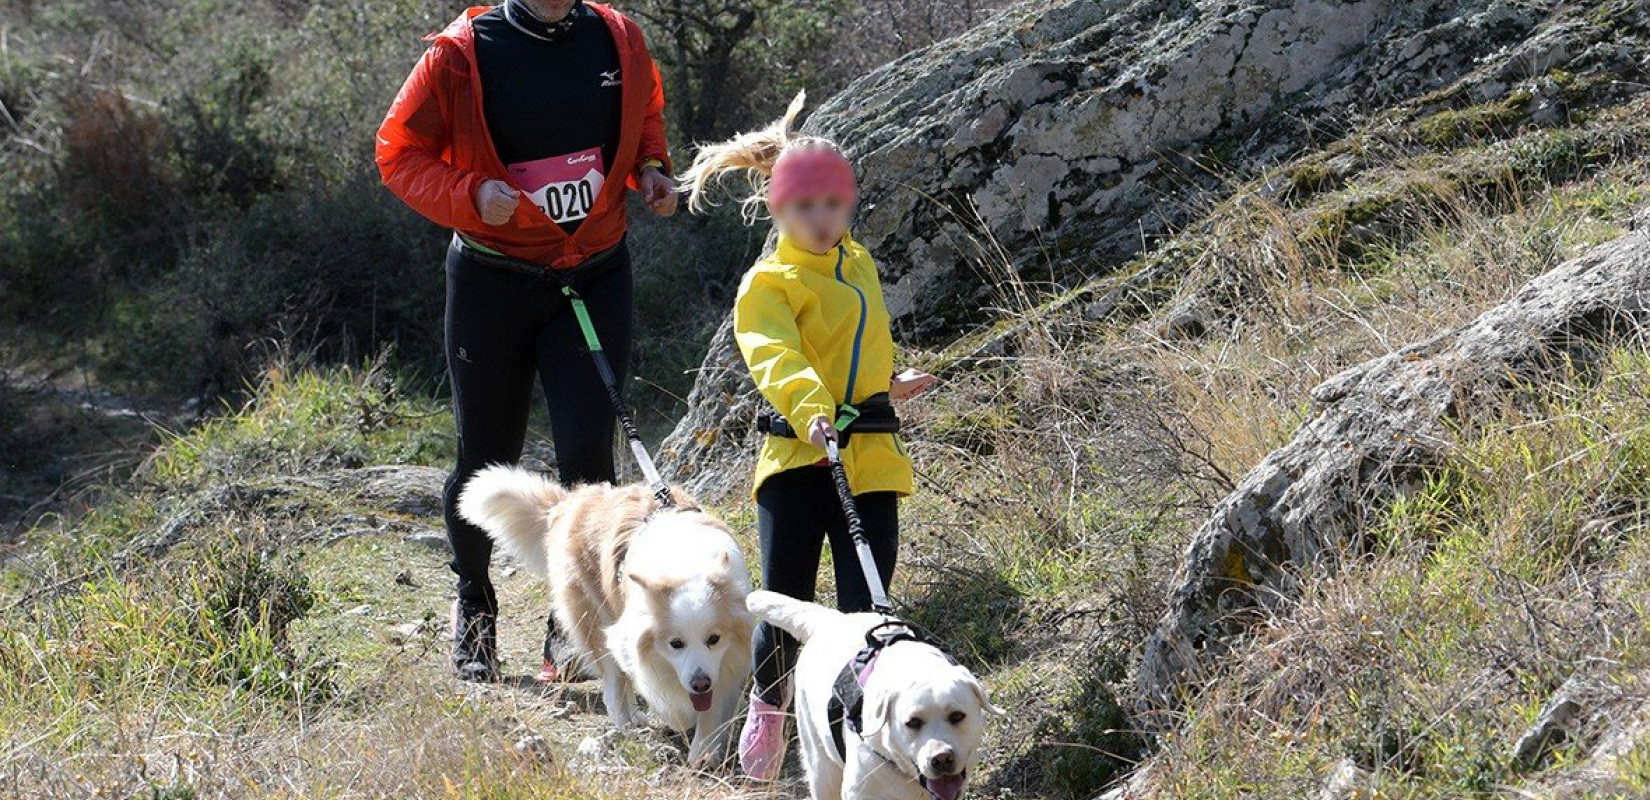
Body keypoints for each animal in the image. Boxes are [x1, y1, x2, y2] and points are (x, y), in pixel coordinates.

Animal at [458, 465, 755, 765]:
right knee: (614, 680)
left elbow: (712, 709)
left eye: (714, 639)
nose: (700, 684)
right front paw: (680, 718)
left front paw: (703, 753)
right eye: (676, 644)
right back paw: (625, 721)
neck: (683, 562)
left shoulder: (727, 663)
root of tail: (571, 501)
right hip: (596, 620)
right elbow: (664, 695)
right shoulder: (631, 640)